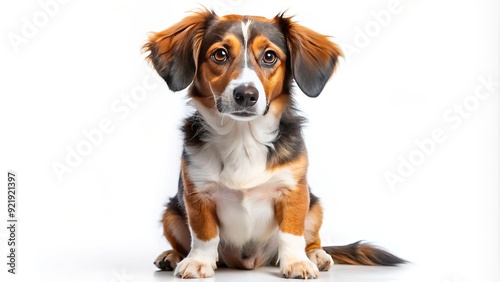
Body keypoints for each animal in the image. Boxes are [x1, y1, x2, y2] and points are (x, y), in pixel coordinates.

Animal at [142, 8, 406, 278]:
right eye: (220, 54)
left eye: (269, 56)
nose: (246, 95)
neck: (242, 137)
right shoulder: (197, 194)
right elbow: (204, 234)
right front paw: (198, 262)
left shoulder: (294, 192)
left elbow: (291, 234)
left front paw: (297, 263)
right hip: (170, 212)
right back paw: (172, 255)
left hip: (315, 207)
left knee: (311, 240)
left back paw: (317, 255)